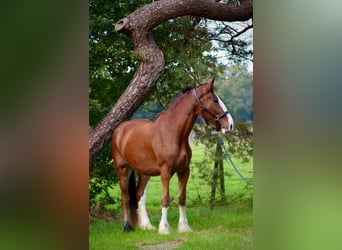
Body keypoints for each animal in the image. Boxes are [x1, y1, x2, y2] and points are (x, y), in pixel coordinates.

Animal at [111, 78, 232, 234]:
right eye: (215, 100)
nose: (230, 124)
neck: (172, 133)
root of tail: (119, 130)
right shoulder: (165, 171)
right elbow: (165, 199)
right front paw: (164, 228)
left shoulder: (184, 171)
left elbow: (182, 198)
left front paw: (184, 227)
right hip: (123, 170)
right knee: (125, 197)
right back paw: (127, 227)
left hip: (144, 172)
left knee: (139, 195)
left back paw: (146, 226)